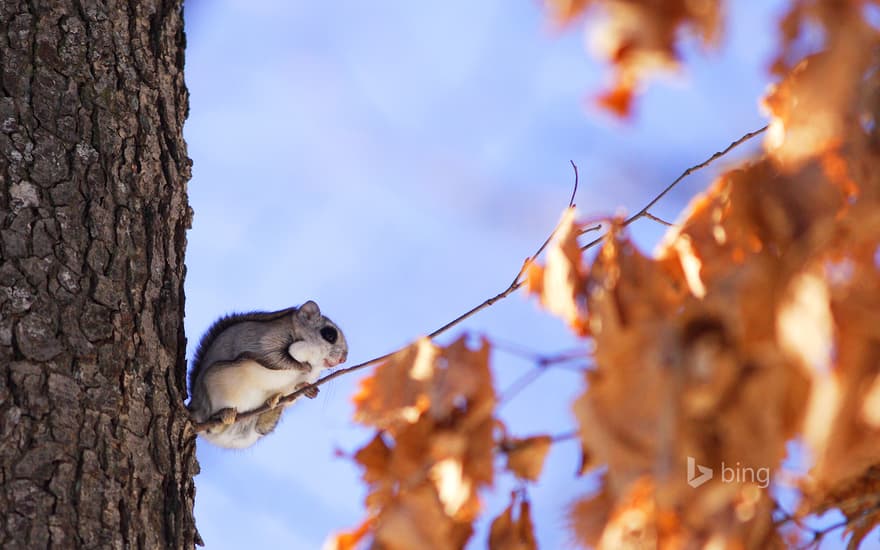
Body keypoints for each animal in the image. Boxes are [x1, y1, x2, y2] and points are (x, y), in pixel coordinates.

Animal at [188, 302, 348, 448]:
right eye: (329, 334)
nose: (344, 359)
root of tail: (196, 406)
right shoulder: (266, 340)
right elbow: (274, 358)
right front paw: (302, 366)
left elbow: (298, 386)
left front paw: (308, 389)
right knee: (212, 424)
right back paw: (225, 414)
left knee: (261, 426)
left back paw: (273, 404)